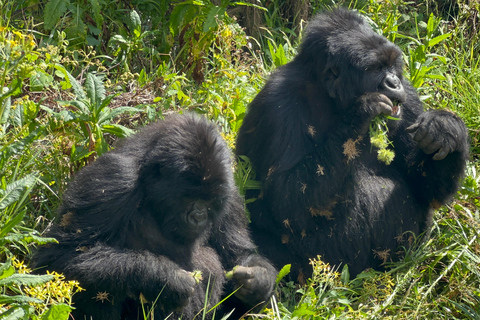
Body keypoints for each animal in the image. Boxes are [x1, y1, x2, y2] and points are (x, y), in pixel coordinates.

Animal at [32, 113, 278, 320]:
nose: (198, 217)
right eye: (189, 197)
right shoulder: (113, 177)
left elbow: (238, 255)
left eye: (210, 201)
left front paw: (258, 280)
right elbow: (60, 257)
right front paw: (165, 278)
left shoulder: (231, 192)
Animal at [236, 8, 468, 280]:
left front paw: (446, 129)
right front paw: (363, 111)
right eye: (374, 68)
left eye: (391, 64)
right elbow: (288, 201)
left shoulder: (409, 97)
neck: (330, 96)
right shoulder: (279, 105)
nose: (393, 82)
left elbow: (425, 188)